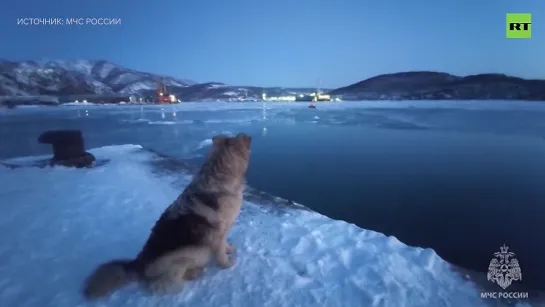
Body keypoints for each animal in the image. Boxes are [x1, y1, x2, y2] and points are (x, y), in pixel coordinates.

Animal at [83, 134, 253, 300]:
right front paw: (228, 264)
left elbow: (225, 245)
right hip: (186, 254)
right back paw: (192, 275)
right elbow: (221, 253)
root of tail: (138, 264)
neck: (219, 176)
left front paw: (230, 249)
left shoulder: (223, 232)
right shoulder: (217, 234)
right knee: (160, 284)